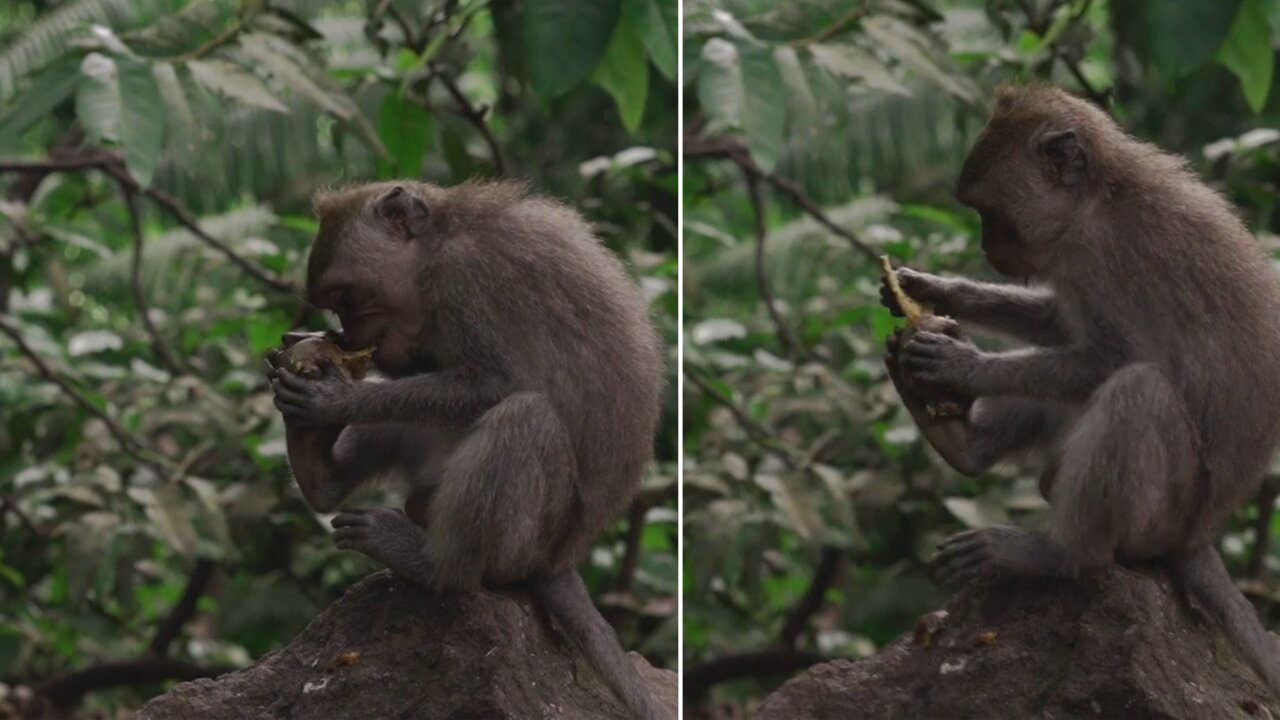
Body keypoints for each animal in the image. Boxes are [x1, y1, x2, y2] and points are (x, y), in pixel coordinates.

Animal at [266, 180, 675, 717]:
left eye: (346, 296)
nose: (345, 335)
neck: (437, 244)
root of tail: (561, 559)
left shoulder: (466, 279)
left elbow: (497, 383)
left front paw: (336, 398)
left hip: (529, 539)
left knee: (525, 417)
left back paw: (437, 567)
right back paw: (320, 475)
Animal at [885, 85, 1280, 696]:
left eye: (988, 212)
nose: (988, 249)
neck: (1099, 197)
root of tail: (1198, 536)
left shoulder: (1104, 256)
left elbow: (1110, 358)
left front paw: (962, 364)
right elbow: (1057, 326)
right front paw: (935, 289)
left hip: (1163, 514)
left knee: (1139, 390)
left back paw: (1062, 554)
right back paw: (965, 447)